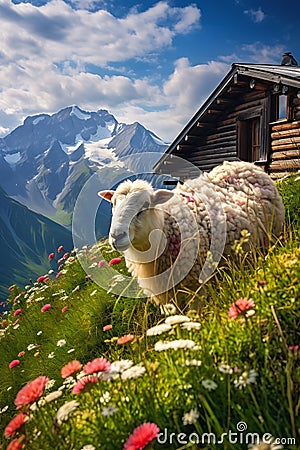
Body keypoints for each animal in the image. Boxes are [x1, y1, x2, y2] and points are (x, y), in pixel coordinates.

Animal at [98, 160, 284, 304]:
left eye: (145, 206)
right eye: (113, 204)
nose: (116, 237)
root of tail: (245, 164)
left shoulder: (196, 287)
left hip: (274, 233)